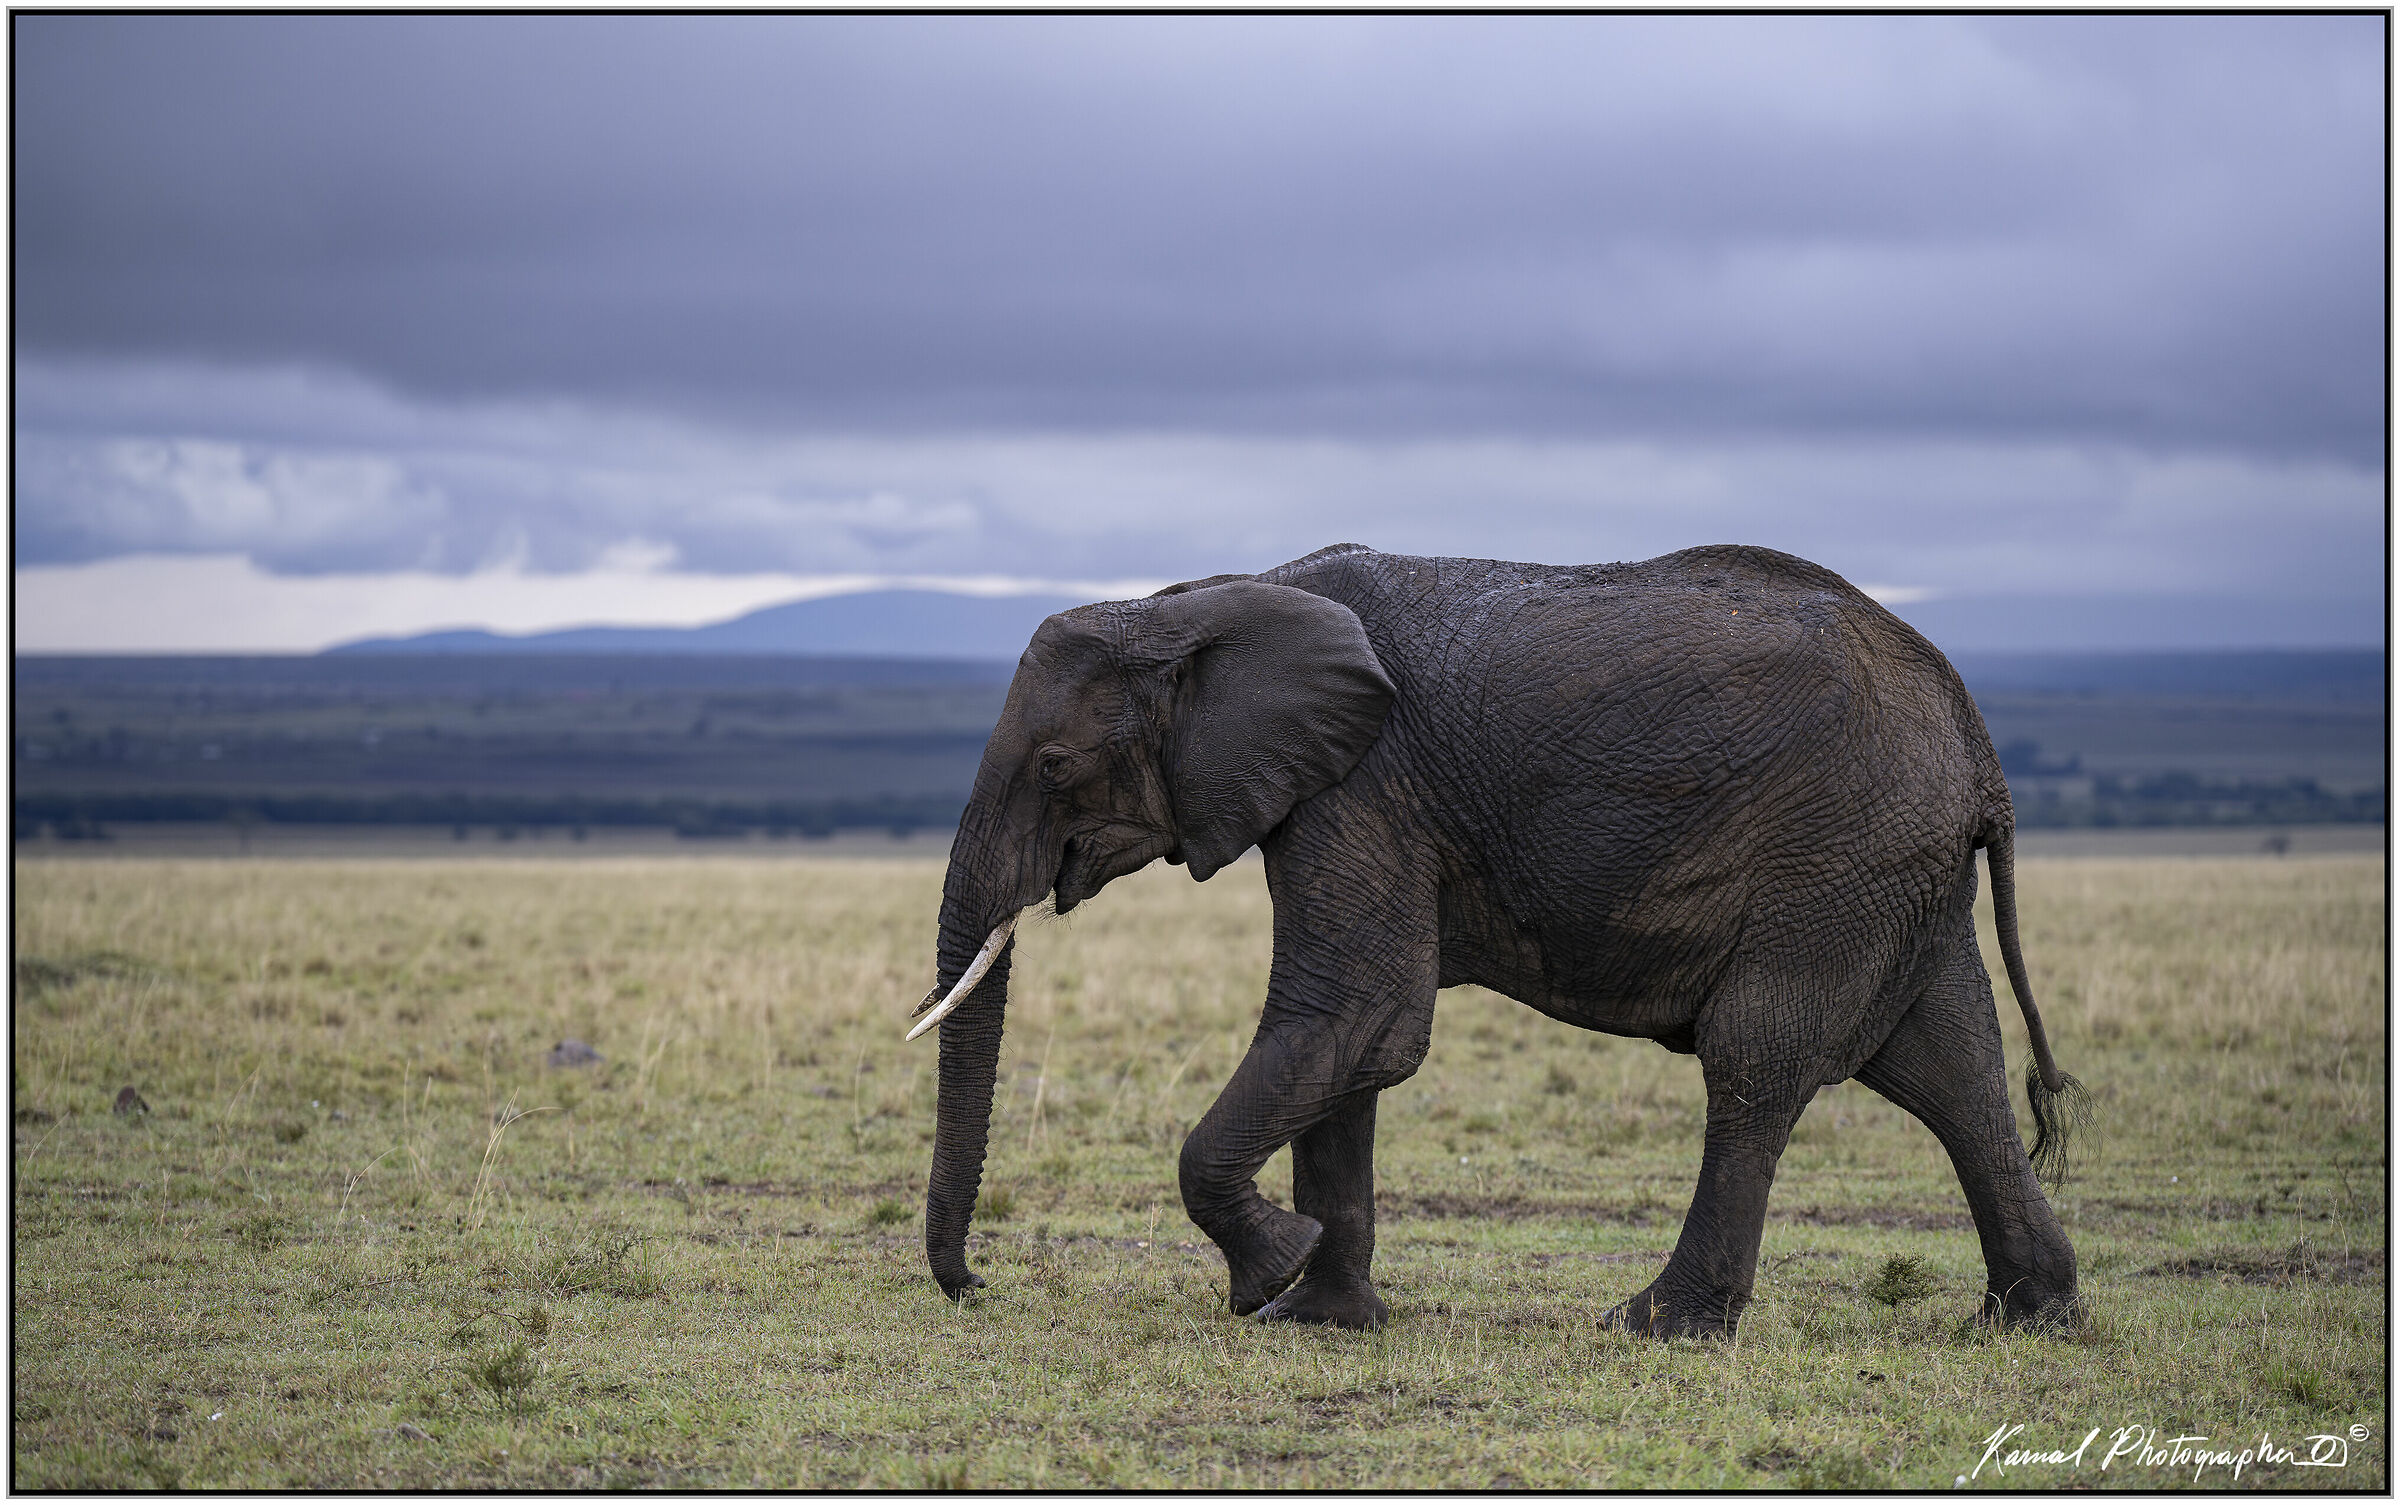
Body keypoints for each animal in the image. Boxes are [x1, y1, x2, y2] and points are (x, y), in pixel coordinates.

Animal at [911, 542, 2086, 1337]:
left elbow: (1360, 1016)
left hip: (1838, 852)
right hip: (1892, 866)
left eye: (1055, 764)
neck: (1201, 599)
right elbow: (1350, 1049)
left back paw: (1657, 1324)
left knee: (1758, 1058)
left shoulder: (1362, 786)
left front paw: (1271, 1275)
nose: (977, 1286)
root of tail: (1977, 739)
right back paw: (2029, 1317)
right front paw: (1322, 1315)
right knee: (1952, 1066)